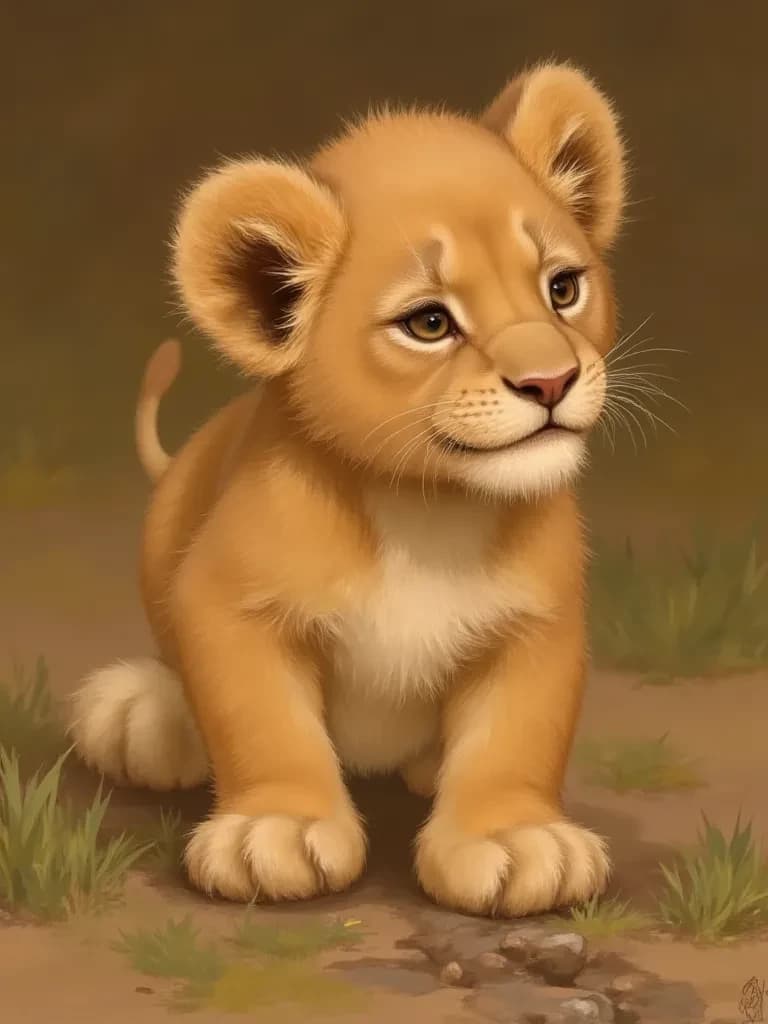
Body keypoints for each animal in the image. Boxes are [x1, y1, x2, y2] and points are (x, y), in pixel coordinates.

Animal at [69, 60, 627, 917]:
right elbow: (264, 720)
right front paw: (276, 831)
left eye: (563, 288)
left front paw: (516, 840)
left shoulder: (541, 622)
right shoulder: (227, 598)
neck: (427, 507)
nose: (550, 380)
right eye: (429, 324)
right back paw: (138, 718)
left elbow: (517, 736)